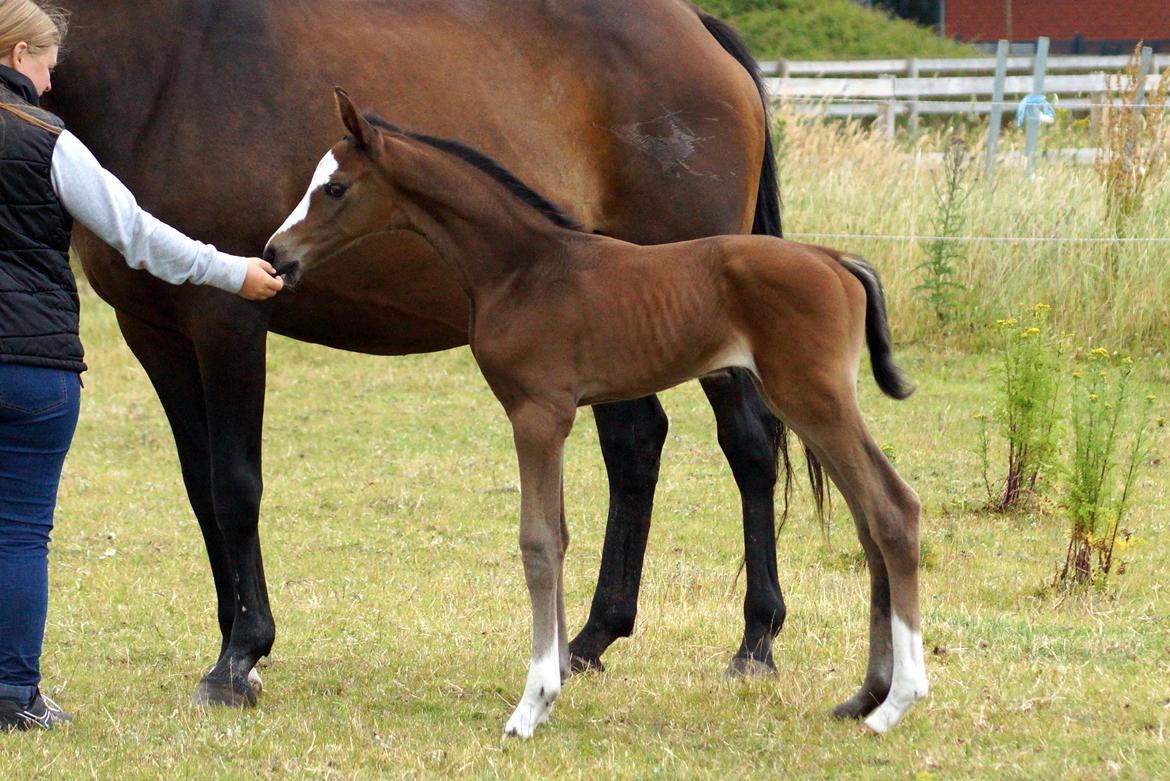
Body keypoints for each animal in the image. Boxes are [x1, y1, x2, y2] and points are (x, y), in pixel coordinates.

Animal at [267, 91, 931, 738]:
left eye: (335, 188)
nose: (276, 255)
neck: (523, 268)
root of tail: (835, 258)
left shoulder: (538, 414)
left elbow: (537, 543)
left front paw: (533, 702)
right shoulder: (552, 416)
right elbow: (558, 537)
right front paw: (557, 675)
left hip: (814, 398)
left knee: (893, 509)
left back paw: (898, 701)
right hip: (810, 404)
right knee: (869, 520)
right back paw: (865, 694)